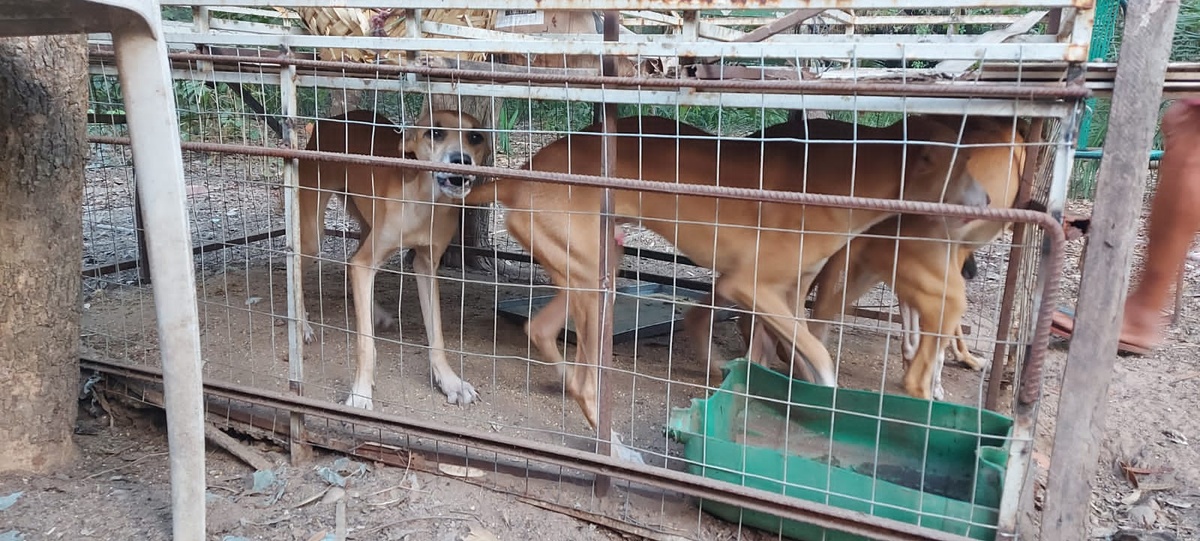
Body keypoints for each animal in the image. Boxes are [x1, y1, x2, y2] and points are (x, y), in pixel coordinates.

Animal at [463, 116, 988, 455]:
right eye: (959, 170)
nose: (988, 203)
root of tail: (518, 176)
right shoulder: (747, 286)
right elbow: (818, 355)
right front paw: (828, 397)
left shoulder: (789, 293)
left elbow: (787, 352)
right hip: (592, 276)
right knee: (584, 378)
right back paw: (606, 436)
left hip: (596, 268)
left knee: (542, 331)